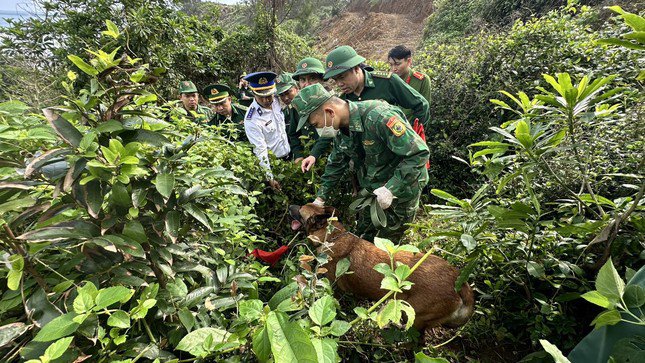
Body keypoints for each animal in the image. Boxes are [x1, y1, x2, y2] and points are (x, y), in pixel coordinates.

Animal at [290, 203, 476, 336]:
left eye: (300, 210)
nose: (290, 205)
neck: (332, 236)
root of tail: (459, 282)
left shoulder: (332, 287)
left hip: (415, 314)